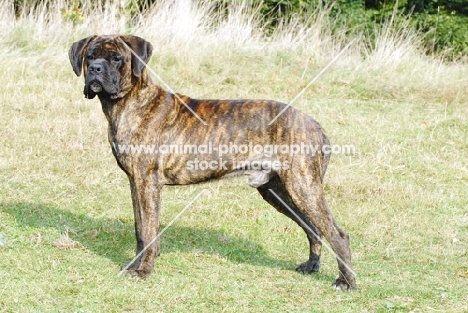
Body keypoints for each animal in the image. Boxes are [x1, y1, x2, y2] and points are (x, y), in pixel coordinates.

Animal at [68, 34, 354, 290]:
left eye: (117, 58)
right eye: (90, 56)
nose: (95, 69)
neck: (131, 102)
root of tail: (315, 125)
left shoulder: (146, 183)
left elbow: (148, 230)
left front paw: (144, 270)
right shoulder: (136, 182)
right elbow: (141, 230)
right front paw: (137, 264)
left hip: (302, 186)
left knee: (337, 233)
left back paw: (345, 281)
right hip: (277, 190)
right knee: (313, 227)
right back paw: (311, 266)